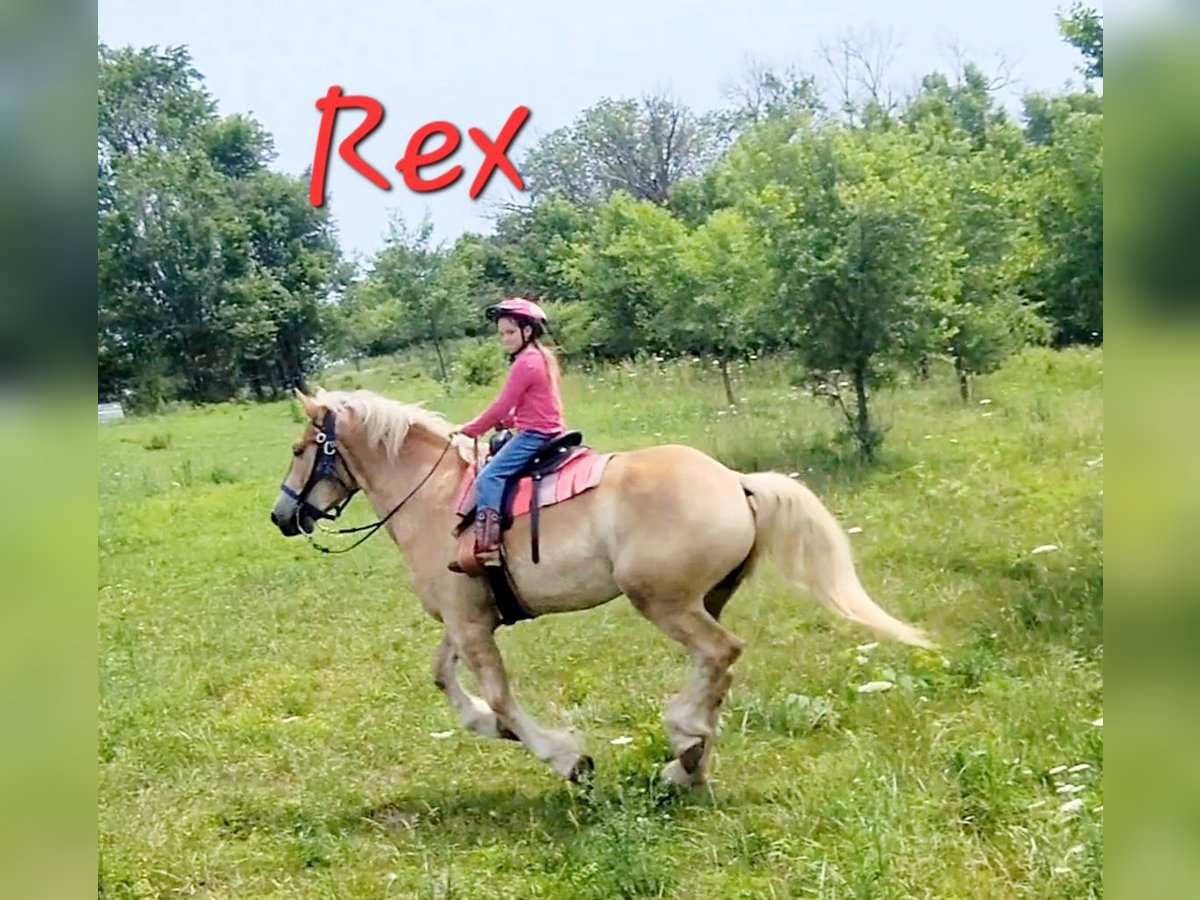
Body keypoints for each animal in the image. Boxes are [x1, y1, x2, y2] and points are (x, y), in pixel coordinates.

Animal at [272, 388, 936, 787]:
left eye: (303, 448)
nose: (282, 517)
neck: (435, 499)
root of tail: (735, 480)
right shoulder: (465, 621)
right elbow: (445, 680)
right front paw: (490, 727)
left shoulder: (471, 625)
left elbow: (503, 699)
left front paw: (568, 759)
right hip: (704, 598)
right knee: (716, 670)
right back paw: (688, 762)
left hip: (662, 601)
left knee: (720, 654)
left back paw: (684, 745)